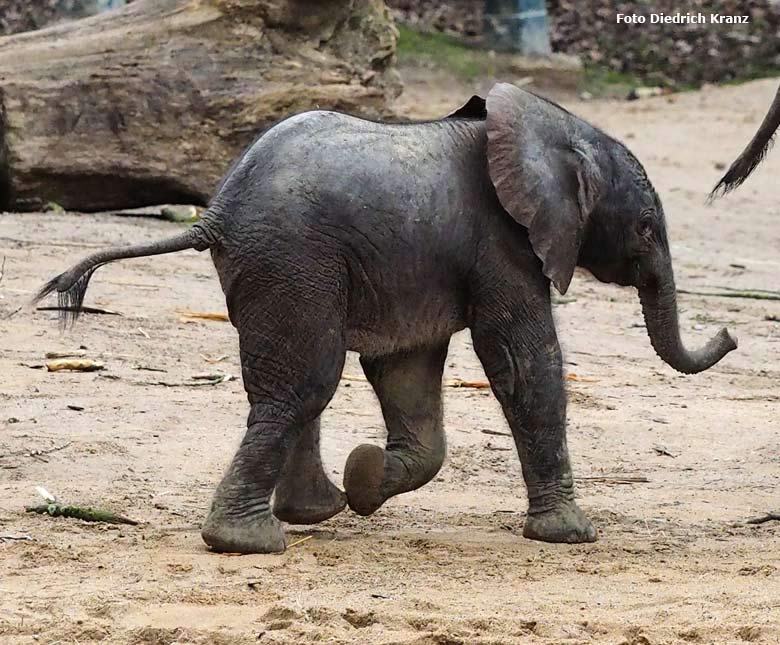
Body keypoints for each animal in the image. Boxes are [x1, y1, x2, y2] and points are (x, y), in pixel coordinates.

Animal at [36, 83, 736, 552]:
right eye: (645, 228)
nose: (730, 334)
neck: (552, 130)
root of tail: (214, 212)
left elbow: (406, 368)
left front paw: (367, 481)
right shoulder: (503, 244)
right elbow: (520, 361)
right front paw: (570, 536)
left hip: (283, 266)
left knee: (298, 383)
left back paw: (316, 512)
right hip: (294, 257)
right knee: (305, 381)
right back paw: (250, 541)